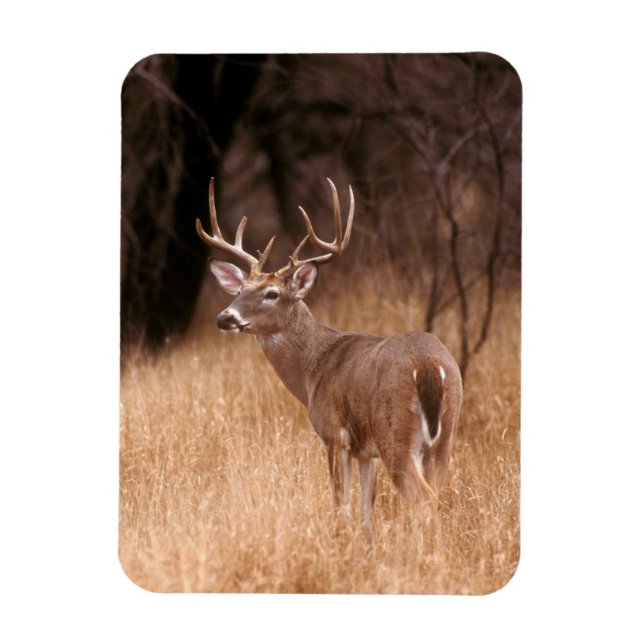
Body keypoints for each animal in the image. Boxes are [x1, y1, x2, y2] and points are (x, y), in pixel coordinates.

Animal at [196, 178, 462, 539]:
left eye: (272, 293)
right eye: (239, 290)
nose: (225, 318)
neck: (313, 370)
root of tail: (429, 366)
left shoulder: (334, 434)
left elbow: (341, 505)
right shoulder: (365, 452)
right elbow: (366, 509)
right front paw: (366, 545)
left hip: (395, 432)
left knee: (423, 502)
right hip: (445, 435)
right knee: (435, 497)